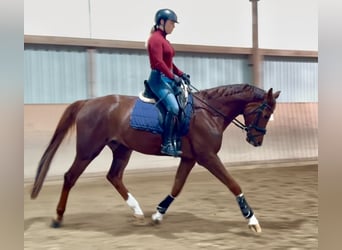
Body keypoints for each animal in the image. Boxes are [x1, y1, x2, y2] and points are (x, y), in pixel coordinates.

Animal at [30, 83, 280, 232]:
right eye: (265, 113)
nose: (256, 141)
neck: (209, 112)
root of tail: (88, 102)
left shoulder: (190, 158)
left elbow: (177, 186)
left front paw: (158, 215)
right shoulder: (207, 157)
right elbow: (233, 184)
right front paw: (252, 221)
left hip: (122, 149)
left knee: (114, 176)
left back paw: (138, 212)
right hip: (88, 150)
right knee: (70, 177)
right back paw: (58, 218)